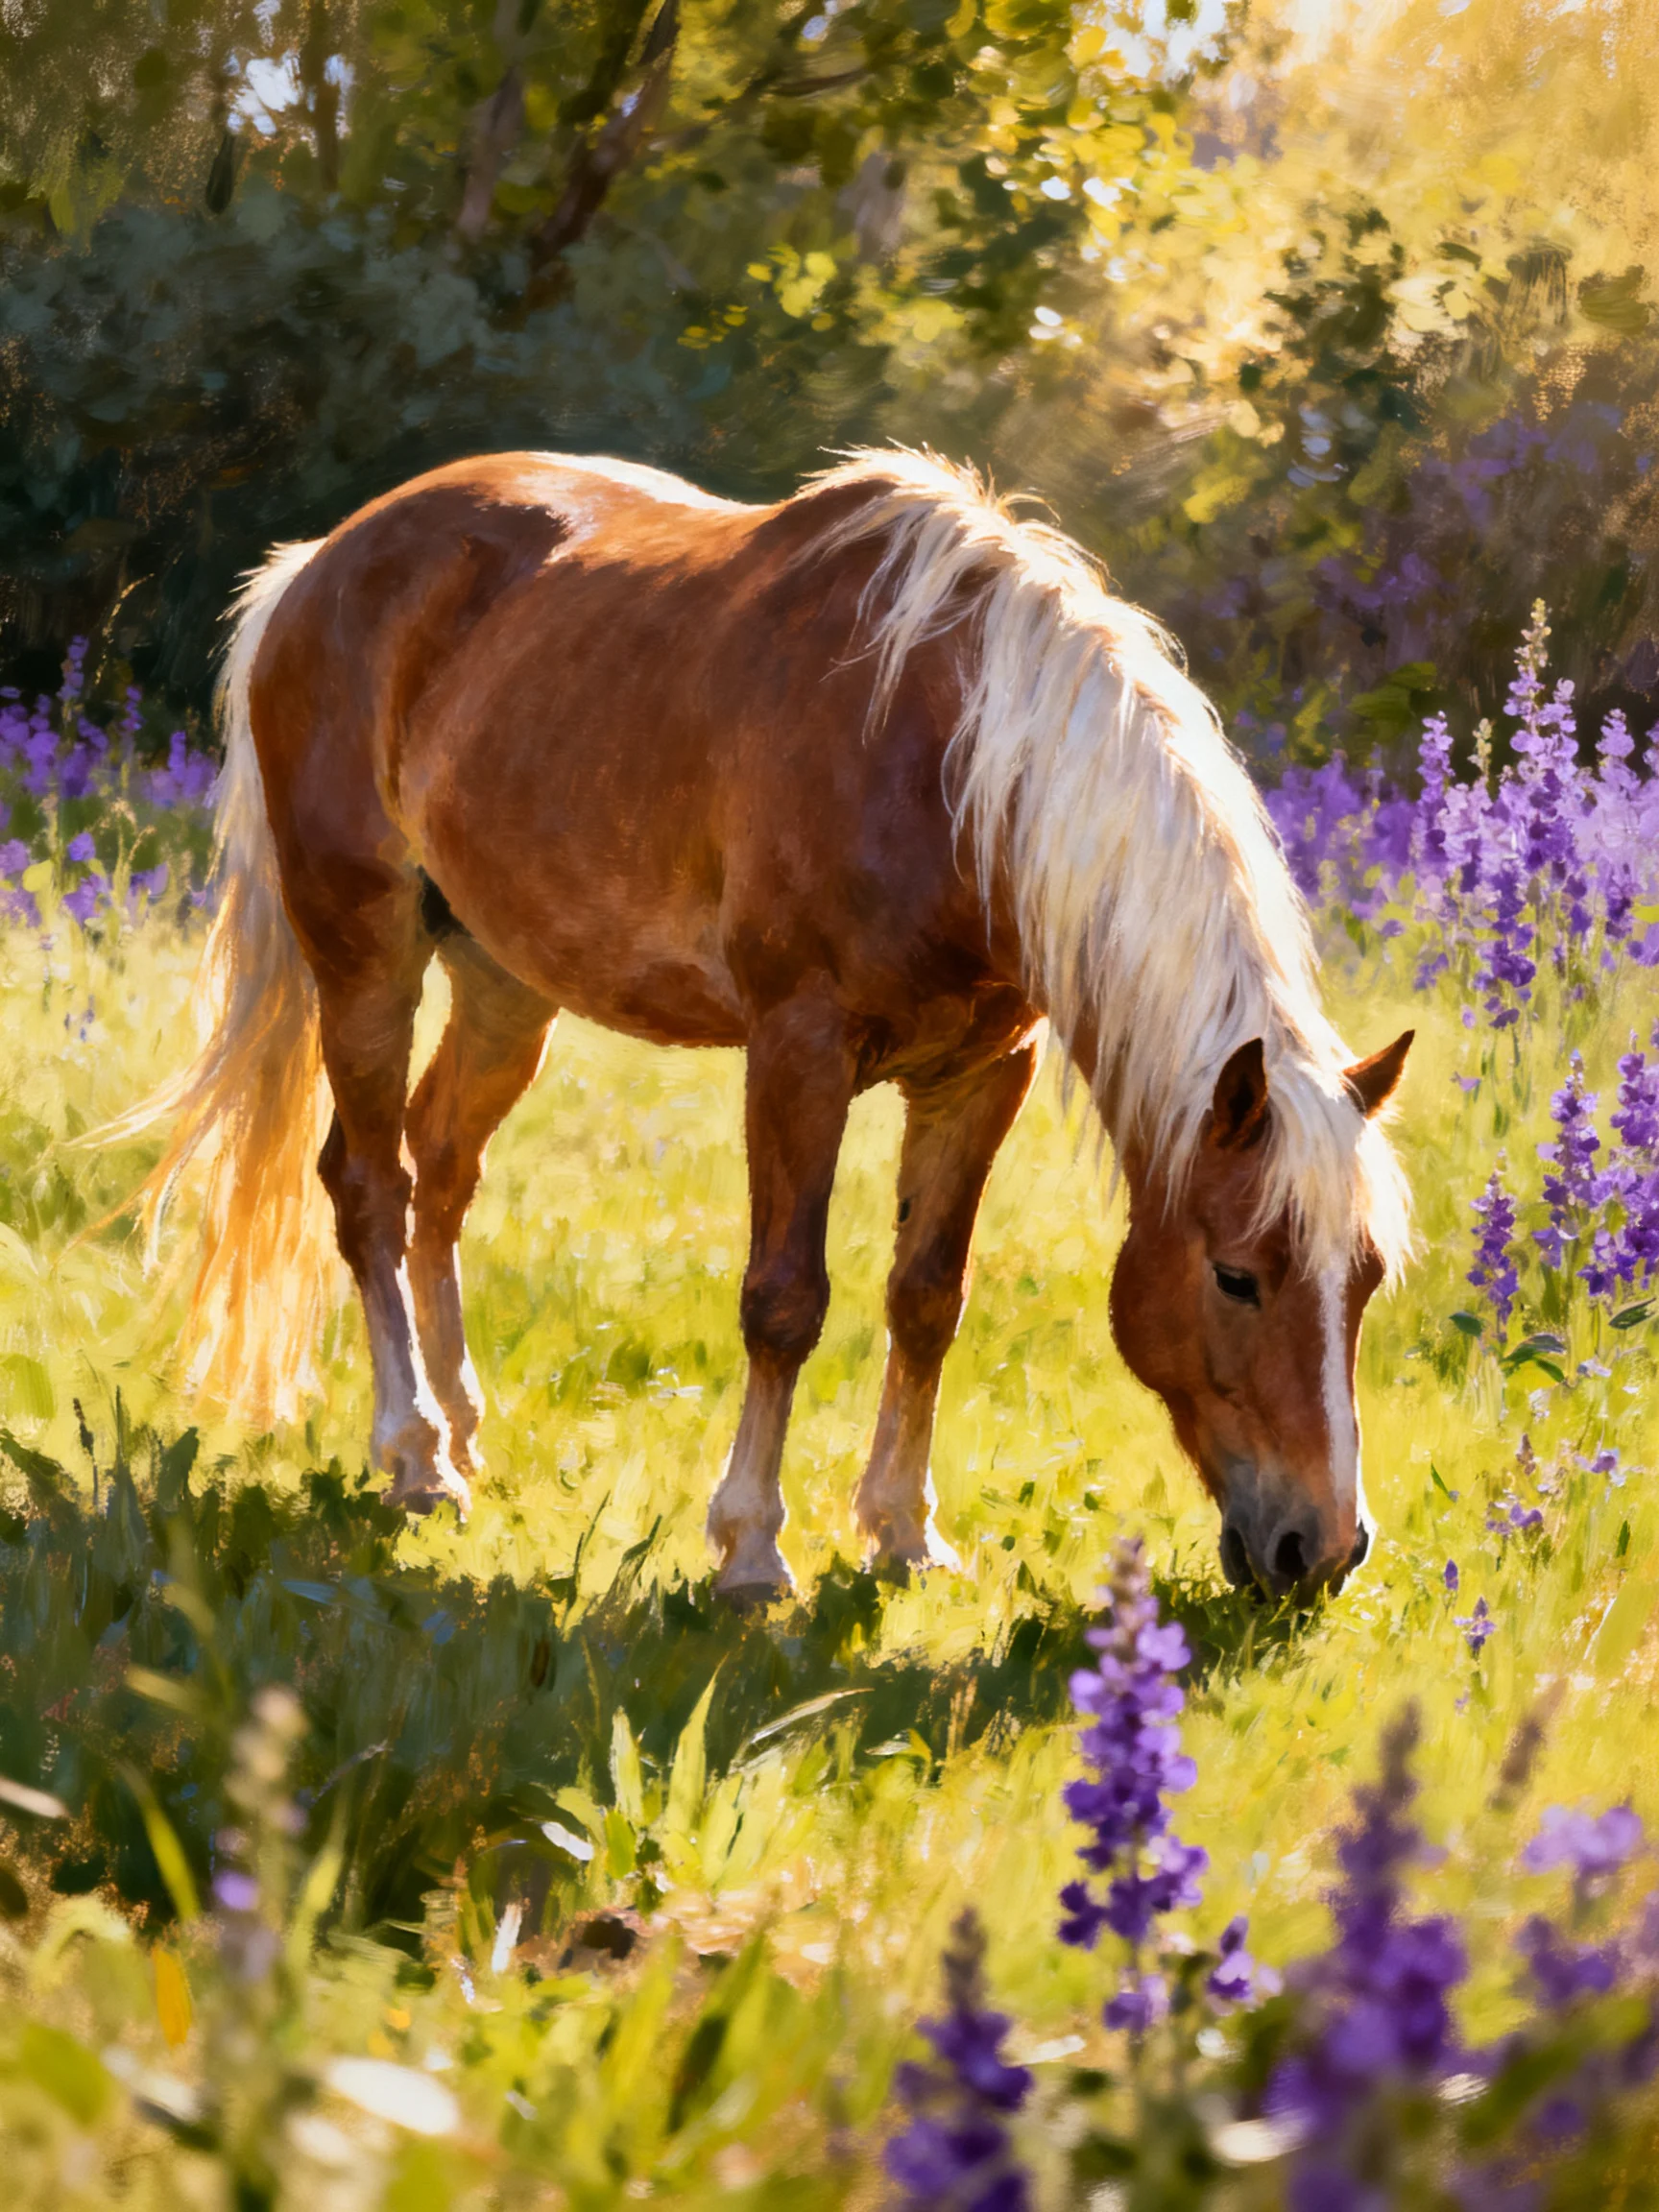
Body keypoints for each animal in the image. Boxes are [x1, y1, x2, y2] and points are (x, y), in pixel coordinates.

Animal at [108, 447, 1413, 1604]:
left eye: (1366, 1278)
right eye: (1238, 1277)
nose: (1323, 1551)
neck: (956, 764)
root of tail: (315, 567)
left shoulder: (983, 1072)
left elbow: (927, 1300)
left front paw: (905, 1536)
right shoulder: (799, 1053)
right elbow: (785, 1303)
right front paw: (750, 1550)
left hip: (504, 983)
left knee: (440, 1169)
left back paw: (466, 1428)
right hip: (364, 954)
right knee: (369, 1185)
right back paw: (418, 1457)